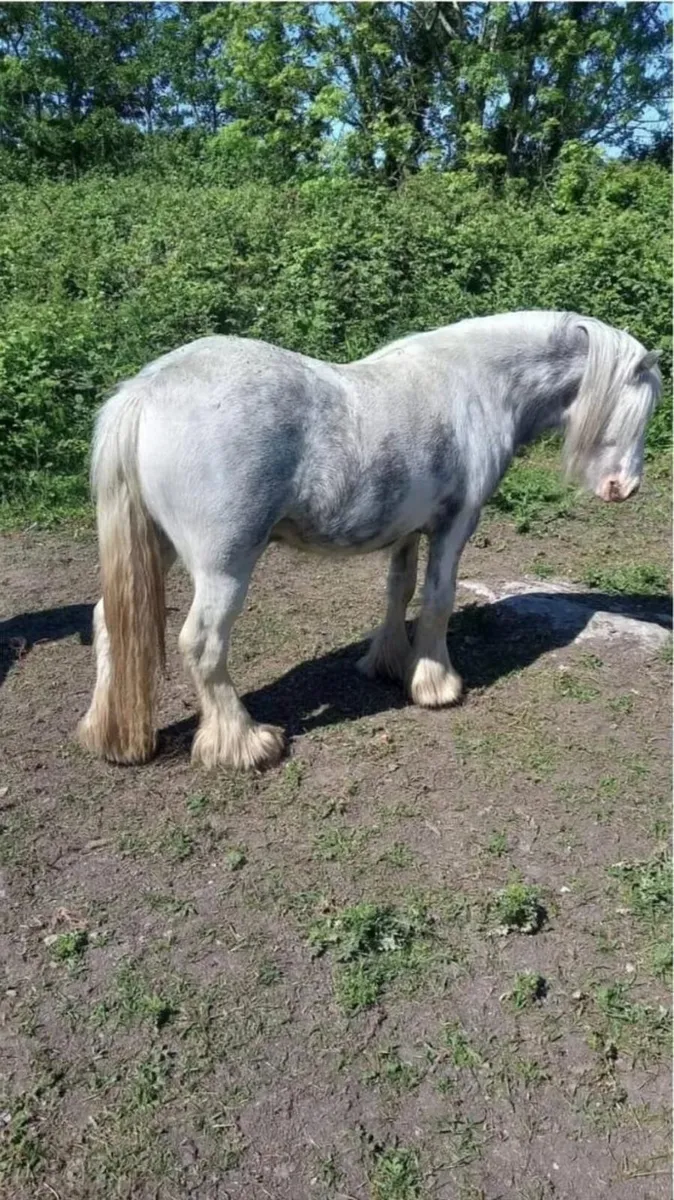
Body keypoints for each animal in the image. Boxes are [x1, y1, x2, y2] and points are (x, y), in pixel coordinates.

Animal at [77, 310, 661, 771]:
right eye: (637, 408)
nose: (625, 488)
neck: (479, 383)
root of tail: (145, 393)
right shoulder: (456, 524)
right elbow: (438, 599)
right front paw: (436, 685)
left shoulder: (407, 530)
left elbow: (399, 591)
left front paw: (389, 664)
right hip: (224, 567)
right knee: (202, 645)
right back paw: (245, 743)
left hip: (159, 548)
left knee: (109, 620)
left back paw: (117, 739)